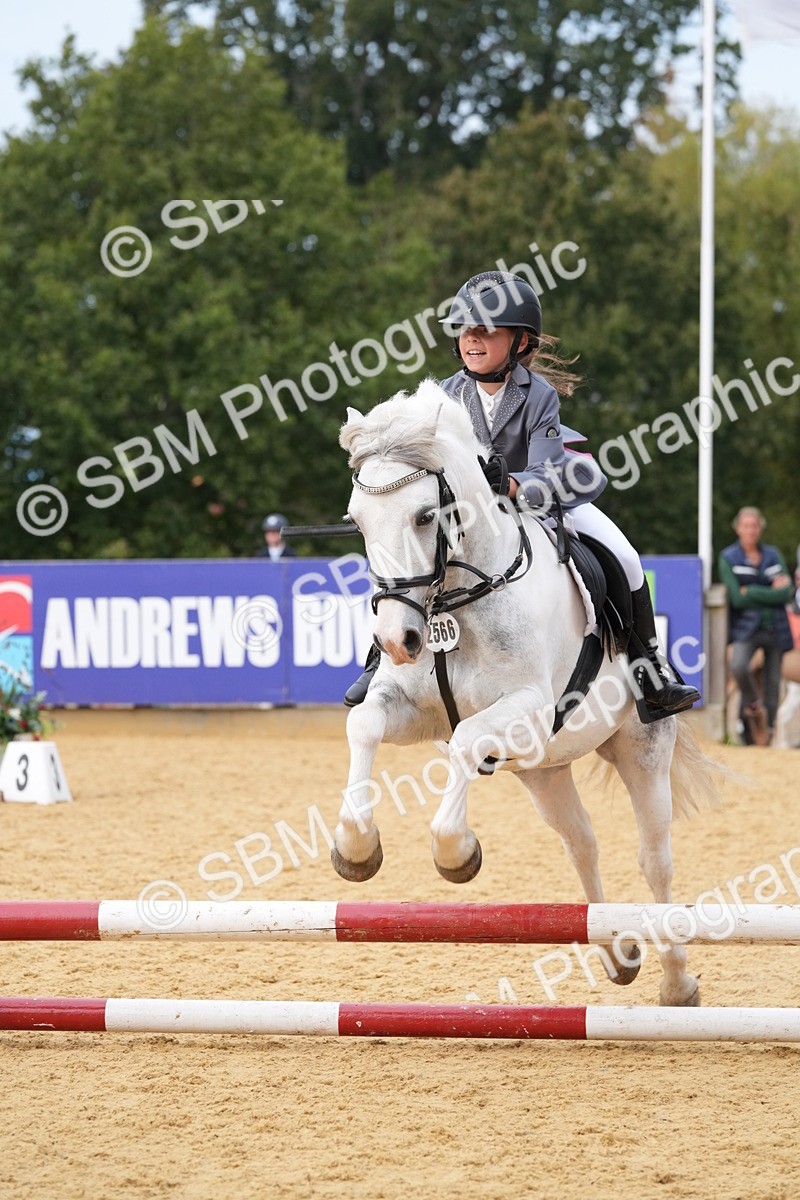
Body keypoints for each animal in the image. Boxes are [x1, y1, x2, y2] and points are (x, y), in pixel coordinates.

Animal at [331, 379, 723, 1006]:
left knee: (655, 860)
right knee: (582, 843)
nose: (396, 639)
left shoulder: (528, 712)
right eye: (358, 521)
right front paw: (357, 848)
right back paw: (616, 953)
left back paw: (677, 981)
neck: (462, 596)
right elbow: (364, 724)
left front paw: (455, 854)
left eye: (424, 516)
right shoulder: (415, 711)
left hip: (641, 748)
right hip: (544, 770)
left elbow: (467, 742)